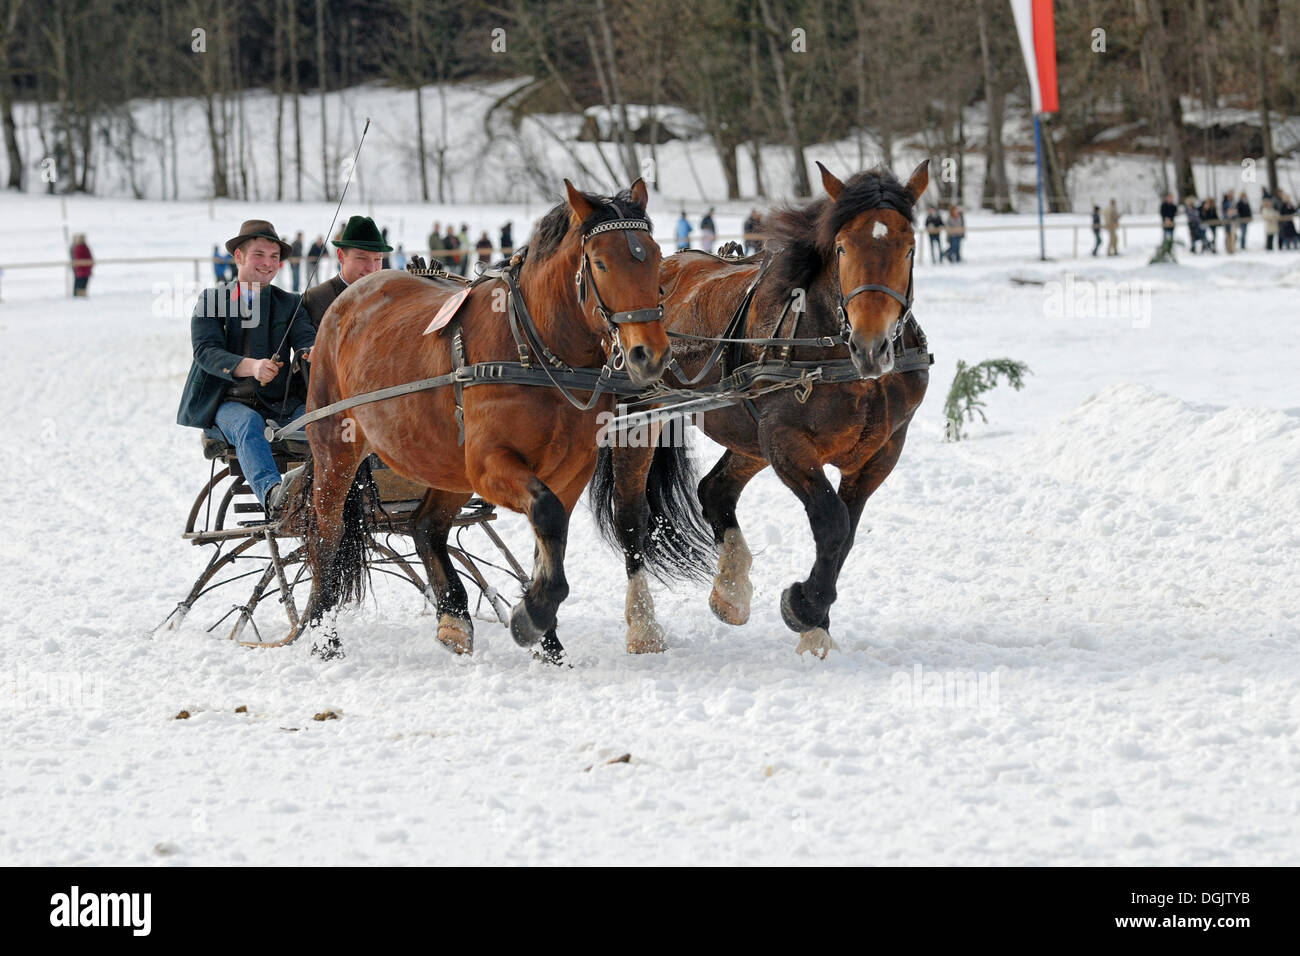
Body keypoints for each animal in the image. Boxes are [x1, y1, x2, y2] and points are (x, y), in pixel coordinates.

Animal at [296, 178, 670, 658]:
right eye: (601, 263)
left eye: (656, 258)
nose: (649, 354)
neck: (534, 349)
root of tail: (349, 297)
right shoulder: (490, 464)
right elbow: (547, 515)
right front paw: (532, 617)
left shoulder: (571, 468)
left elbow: (550, 538)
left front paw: (548, 641)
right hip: (335, 447)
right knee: (326, 535)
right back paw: (323, 634)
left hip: (443, 460)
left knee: (426, 526)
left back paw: (453, 617)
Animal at [595, 162, 930, 658]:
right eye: (842, 247)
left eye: (909, 247)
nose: (871, 346)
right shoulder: (786, 440)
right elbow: (832, 521)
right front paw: (803, 608)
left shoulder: (880, 453)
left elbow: (846, 533)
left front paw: (816, 625)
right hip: (640, 418)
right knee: (632, 518)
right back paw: (643, 626)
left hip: (746, 433)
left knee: (715, 490)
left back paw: (730, 592)